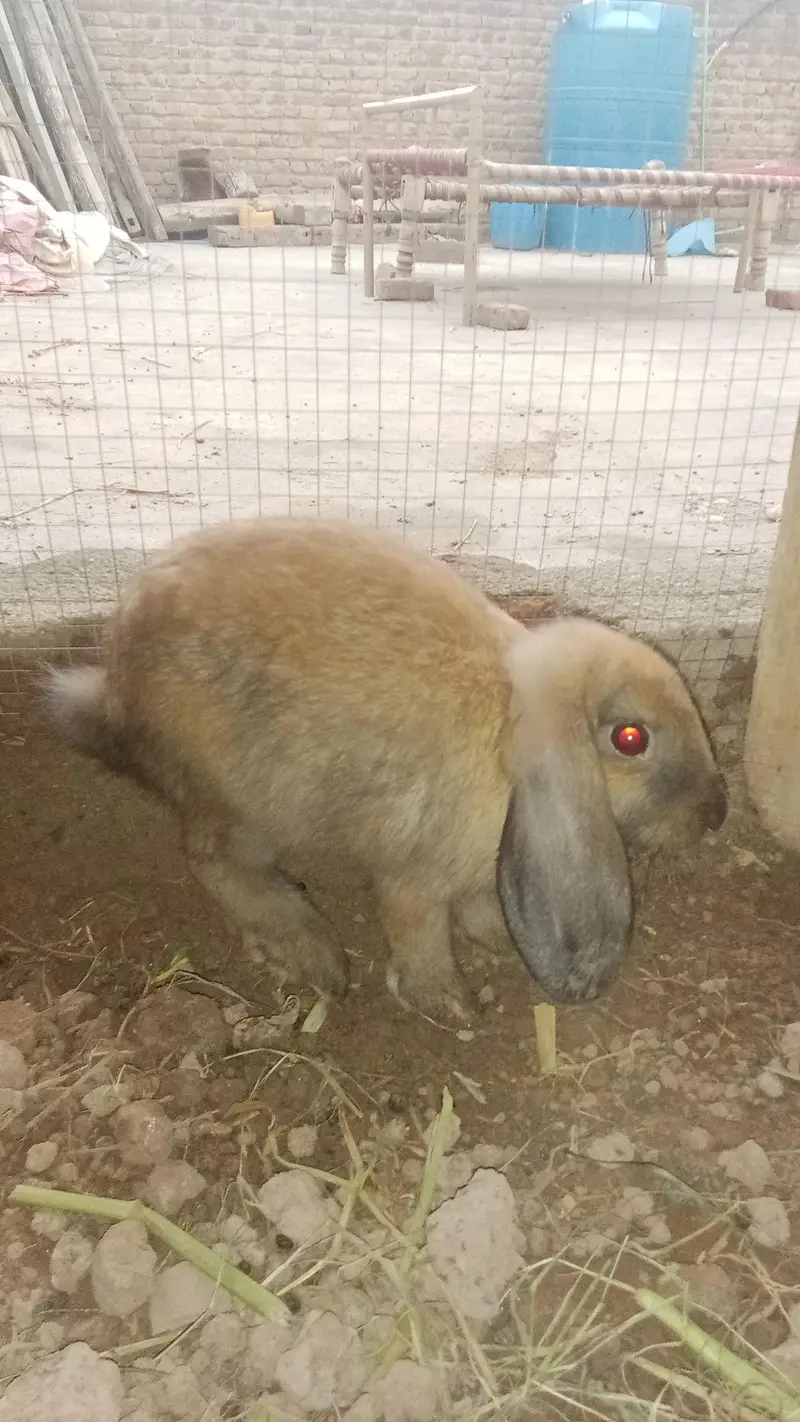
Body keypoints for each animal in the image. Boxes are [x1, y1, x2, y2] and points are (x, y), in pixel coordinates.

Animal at [42, 517, 727, 1020]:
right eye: (631, 738)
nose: (717, 813)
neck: (509, 731)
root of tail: (117, 695)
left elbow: (479, 906)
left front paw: (498, 941)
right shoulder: (416, 874)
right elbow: (415, 928)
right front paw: (445, 1003)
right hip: (242, 799)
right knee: (212, 860)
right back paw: (310, 948)